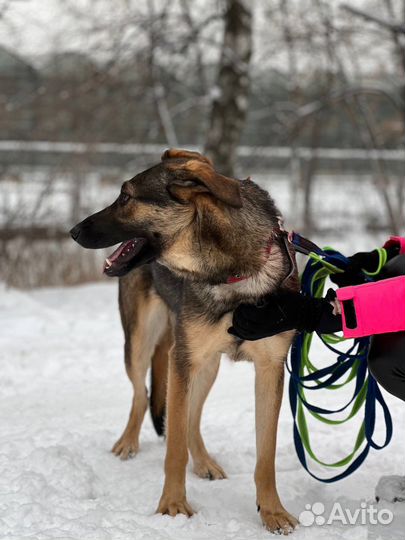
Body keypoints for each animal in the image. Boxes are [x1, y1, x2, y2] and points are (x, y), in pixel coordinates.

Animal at [69, 150, 298, 532]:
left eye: (126, 197)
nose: (72, 231)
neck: (230, 271)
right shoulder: (183, 360)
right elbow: (173, 447)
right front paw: (173, 506)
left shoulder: (269, 369)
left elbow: (265, 456)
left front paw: (272, 511)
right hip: (142, 344)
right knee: (142, 394)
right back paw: (128, 443)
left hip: (205, 366)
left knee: (190, 415)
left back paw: (203, 462)